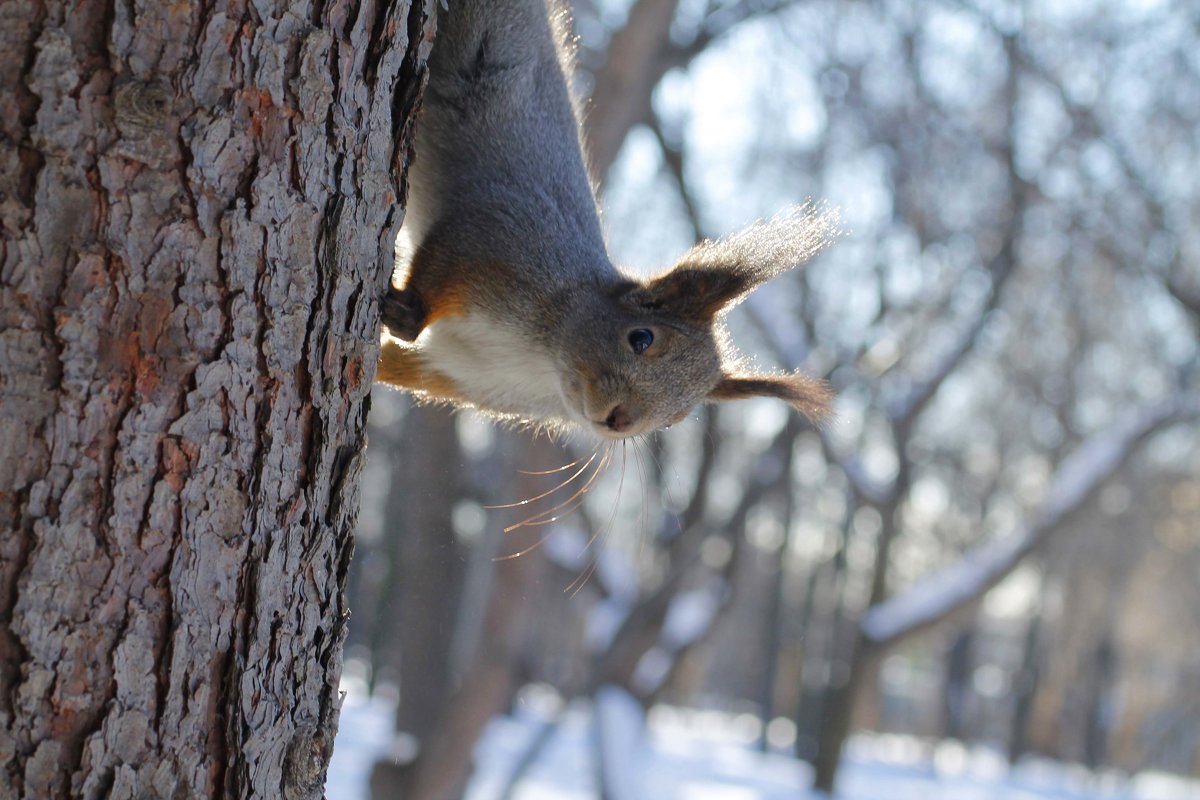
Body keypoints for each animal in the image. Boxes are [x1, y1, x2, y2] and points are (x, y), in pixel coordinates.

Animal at [376, 0, 835, 438]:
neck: (540, 360)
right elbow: (444, 260)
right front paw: (406, 311)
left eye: (678, 417)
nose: (621, 419)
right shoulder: (497, 241)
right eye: (641, 337)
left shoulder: (460, 373)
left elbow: (397, 363)